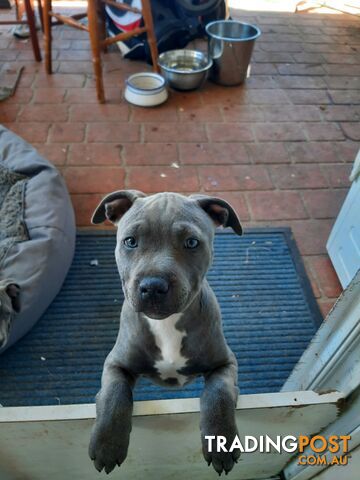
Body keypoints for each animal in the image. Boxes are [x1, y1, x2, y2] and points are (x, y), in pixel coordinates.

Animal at [88, 191, 243, 476]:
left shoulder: (225, 363)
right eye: (130, 241)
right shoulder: (115, 363)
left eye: (192, 242)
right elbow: (115, 393)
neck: (166, 324)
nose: (153, 286)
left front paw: (221, 443)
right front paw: (107, 444)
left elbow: (218, 393)